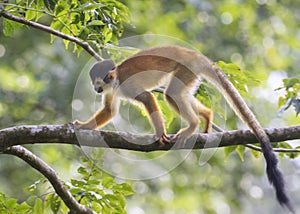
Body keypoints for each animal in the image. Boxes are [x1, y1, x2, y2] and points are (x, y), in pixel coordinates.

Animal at [74, 46, 292, 211]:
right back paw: (206, 116)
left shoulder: (126, 85)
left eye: (98, 82)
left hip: (187, 68)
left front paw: (160, 134)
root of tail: (195, 55)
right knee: (179, 93)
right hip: (192, 72)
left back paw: (193, 124)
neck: (115, 80)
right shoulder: (112, 91)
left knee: (171, 94)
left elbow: (148, 98)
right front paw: (84, 126)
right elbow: (110, 110)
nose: (96, 89)